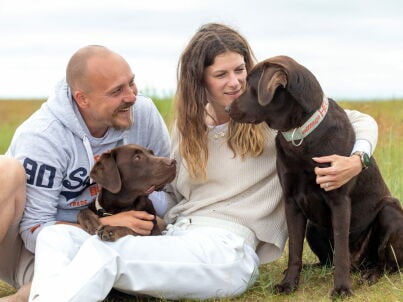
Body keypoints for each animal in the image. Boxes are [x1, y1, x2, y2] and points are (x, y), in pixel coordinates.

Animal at [229, 55, 402, 298]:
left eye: (249, 85)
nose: (227, 108)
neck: (300, 133)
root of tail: (359, 265)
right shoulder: (291, 201)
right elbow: (295, 251)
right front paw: (288, 284)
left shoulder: (339, 200)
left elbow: (341, 251)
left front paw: (341, 288)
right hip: (313, 226)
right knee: (328, 261)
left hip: (390, 212)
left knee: (386, 265)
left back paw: (370, 275)